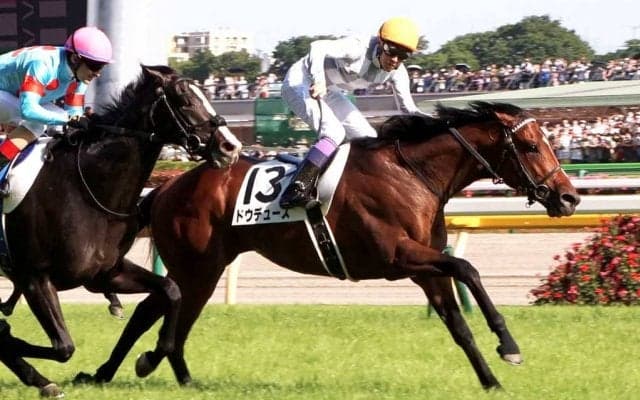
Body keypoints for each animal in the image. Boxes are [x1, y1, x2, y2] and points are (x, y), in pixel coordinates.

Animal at [0, 64, 242, 397]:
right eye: (183, 98)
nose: (231, 147)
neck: (86, 189)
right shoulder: (35, 277)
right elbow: (63, 347)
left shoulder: (105, 273)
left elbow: (172, 290)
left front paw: (150, 358)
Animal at [79, 101, 580, 390]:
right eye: (531, 147)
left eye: (547, 141)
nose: (569, 197)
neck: (414, 175)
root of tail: (166, 187)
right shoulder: (398, 256)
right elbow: (469, 270)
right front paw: (508, 343)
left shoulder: (423, 269)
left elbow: (458, 324)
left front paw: (491, 380)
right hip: (195, 264)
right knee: (157, 309)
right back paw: (127, 368)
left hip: (206, 266)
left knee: (170, 312)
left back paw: (168, 376)